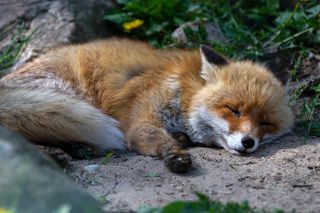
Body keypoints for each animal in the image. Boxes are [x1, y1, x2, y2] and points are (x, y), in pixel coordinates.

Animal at [0, 38, 294, 173]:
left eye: (266, 123)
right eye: (233, 110)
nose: (248, 142)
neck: (185, 93)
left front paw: (180, 140)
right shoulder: (141, 122)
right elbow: (155, 138)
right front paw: (174, 154)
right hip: (66, 95)